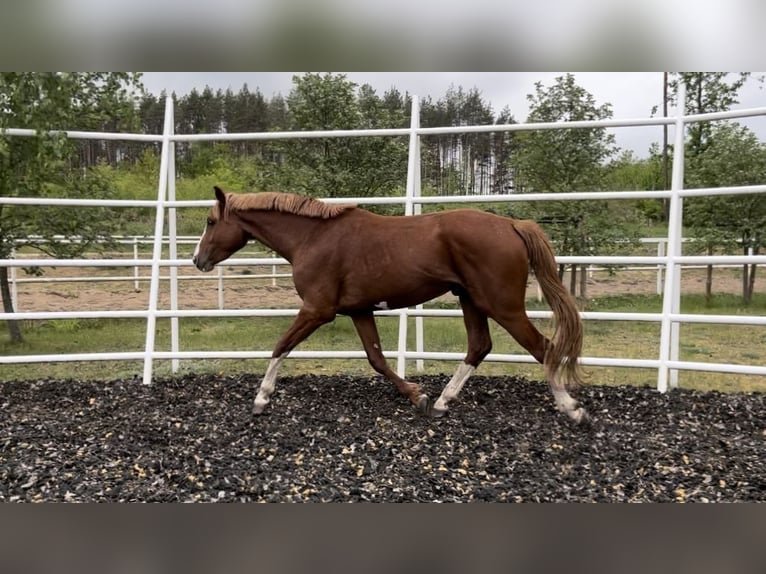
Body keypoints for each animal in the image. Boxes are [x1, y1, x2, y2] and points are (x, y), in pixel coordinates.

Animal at [192, 188, 588, 424]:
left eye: (211, 221)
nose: (198, 260)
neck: (312, 237)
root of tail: (511, 224)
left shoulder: (317, 310)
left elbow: (280, 346)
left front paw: (261, 398)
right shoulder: (359, 310)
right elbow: (377, 359)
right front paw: (418, 396)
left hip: (502, 306)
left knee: (542, 347)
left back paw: (571, 409)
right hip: (471, 300)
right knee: (480, 346)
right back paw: (442, 402)